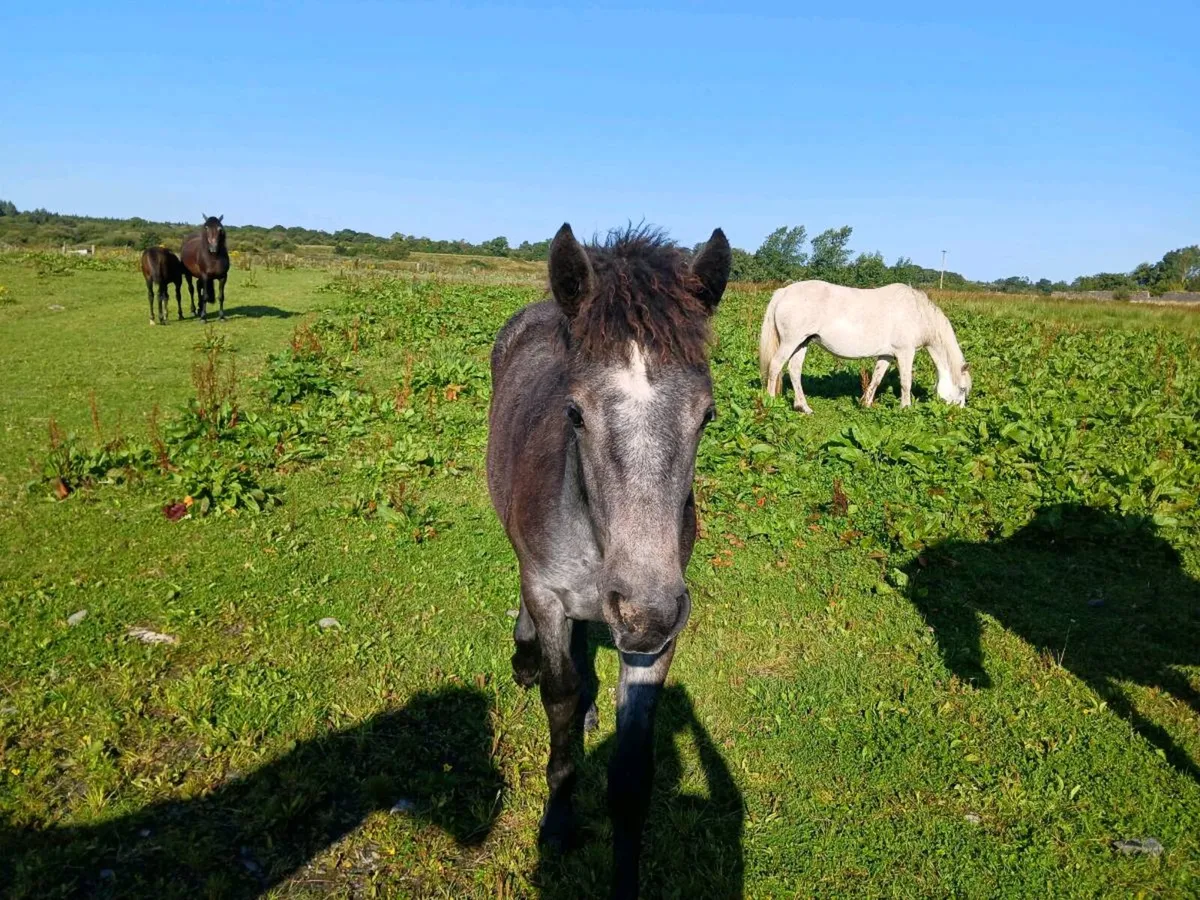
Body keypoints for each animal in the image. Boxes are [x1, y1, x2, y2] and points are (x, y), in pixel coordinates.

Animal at [486, 223, 730, 898]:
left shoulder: (658, 636)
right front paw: (557, 822)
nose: (644, 613)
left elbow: (632, 772)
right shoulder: (548, 593)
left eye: (707, 414)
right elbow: (559, 700)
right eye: (574, 412)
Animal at [759, 280, 972, 413]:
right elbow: (906, 382)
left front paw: (866, 404)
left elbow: (876, 379)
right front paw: (905, 408)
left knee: (794, 371)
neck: (916, 312)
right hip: (791, 342)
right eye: (962, 389)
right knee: (775, 366)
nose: (957, 413)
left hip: (802, 343)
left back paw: (803, 407)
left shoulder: (887, 355)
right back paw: (771, 401)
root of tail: (784, 292)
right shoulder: (905, 352)